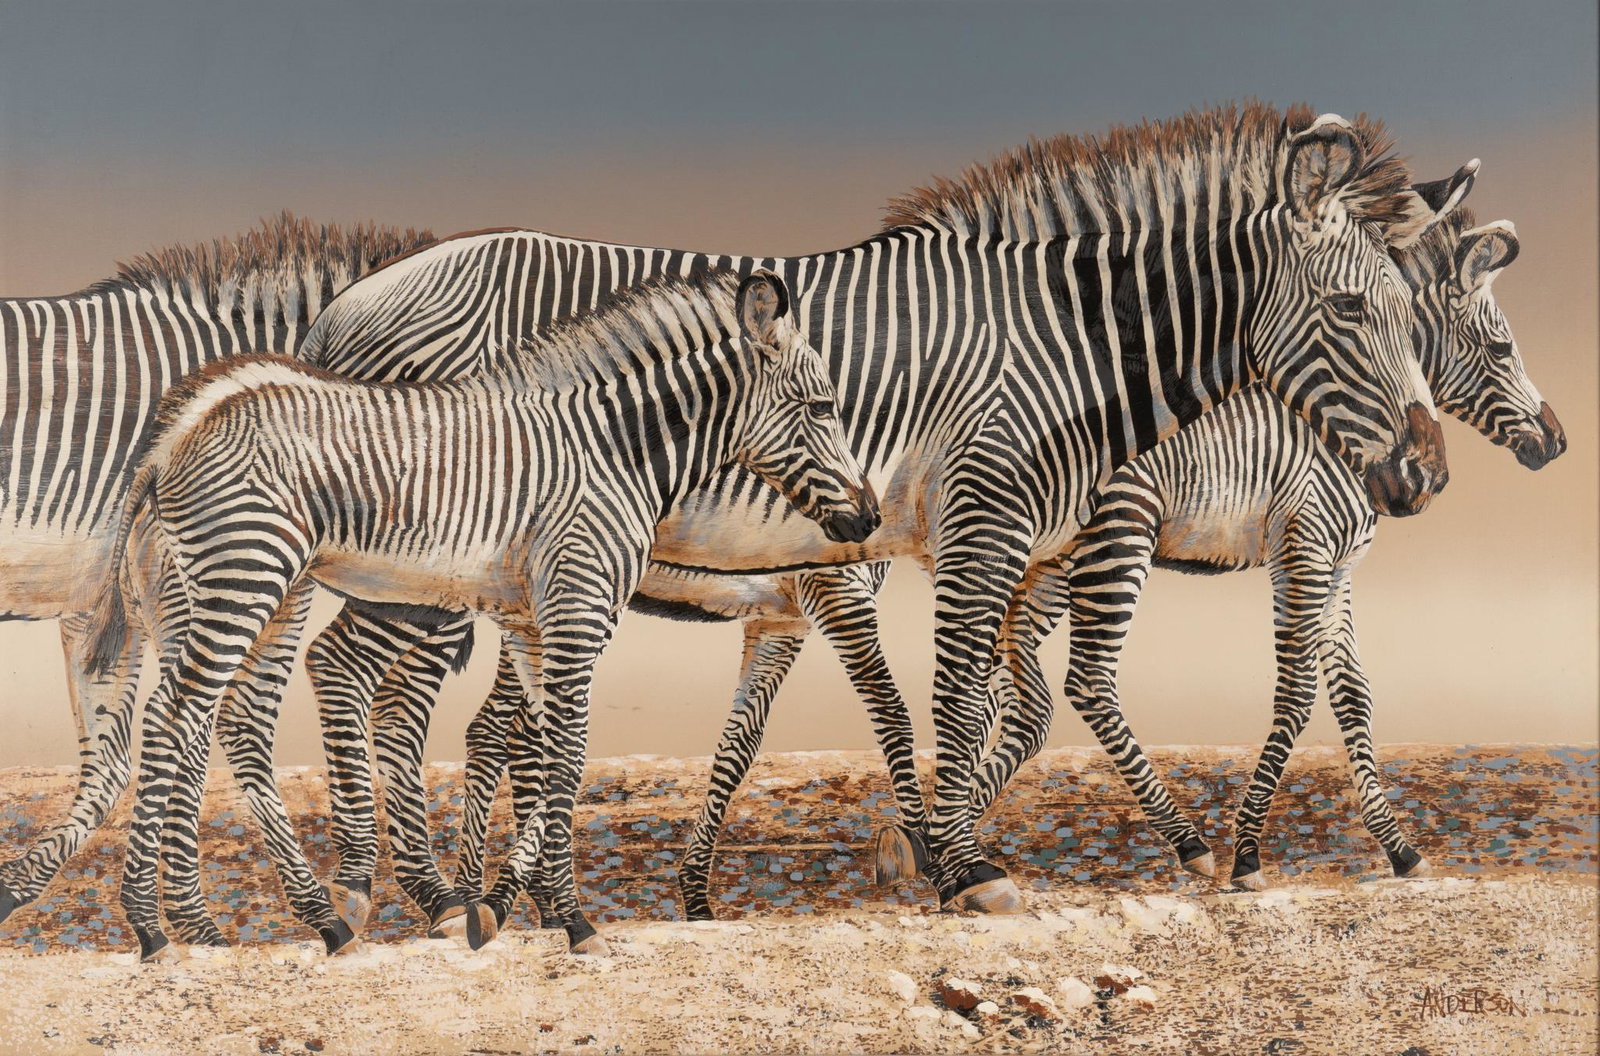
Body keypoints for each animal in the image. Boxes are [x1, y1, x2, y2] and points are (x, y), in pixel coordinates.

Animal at [85, 270, 881, 961]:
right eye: (823, 408)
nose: (869, 518)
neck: (615, 449)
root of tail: (180, 426)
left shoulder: (532, 619)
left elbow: (544, 748)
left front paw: (515, 908)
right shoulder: (580, 604)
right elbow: (568, 752)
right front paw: (570, 921)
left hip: (237, 590)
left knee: (220, 719)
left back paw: (288, 923)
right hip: (247, 573)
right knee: (177, 718)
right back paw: (155, 929)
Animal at [874, 204, 1567, 893]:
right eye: (1502, 347)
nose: (1556, 442)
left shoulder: (1340, 571)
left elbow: (1355, 696)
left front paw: (1400, 849)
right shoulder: (1304, 549)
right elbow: (1297, 695)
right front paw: (1248, 852)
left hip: (1046, 560)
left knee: (1015, 693)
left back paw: (934, 838)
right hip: (1117, 535)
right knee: (1083, 681)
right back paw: (1182, 842)